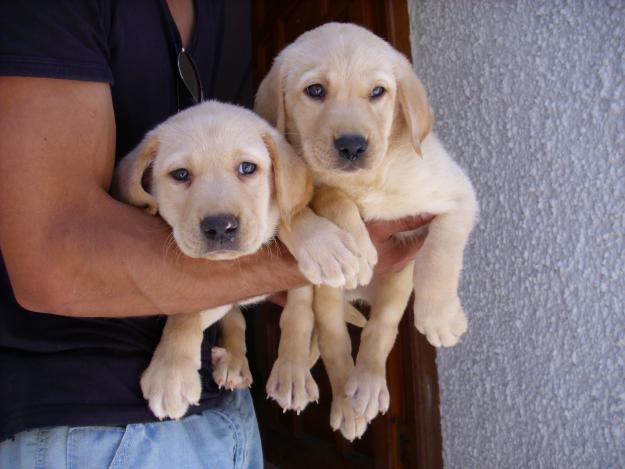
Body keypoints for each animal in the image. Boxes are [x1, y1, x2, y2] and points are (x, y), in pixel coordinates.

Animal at [112, 100, 312, 418]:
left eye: (247, 168)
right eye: (181, 175)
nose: (220, 226)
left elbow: (298, 314)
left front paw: (293, 372)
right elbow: (188, 312)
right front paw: (170, 373)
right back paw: (232, 362)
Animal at [254, 23, 478, 440]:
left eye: (378, 92)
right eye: (315, 90)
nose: (352, 146)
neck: (367, 183)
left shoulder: (458, 194)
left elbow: (439, 255)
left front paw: (439, 317)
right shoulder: (306, 189)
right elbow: (331, 196)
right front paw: (356, 249)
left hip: (396, 283)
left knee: (379, 330)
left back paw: (367, 385)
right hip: (319, 291)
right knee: (319, 332)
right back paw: (311, 381)